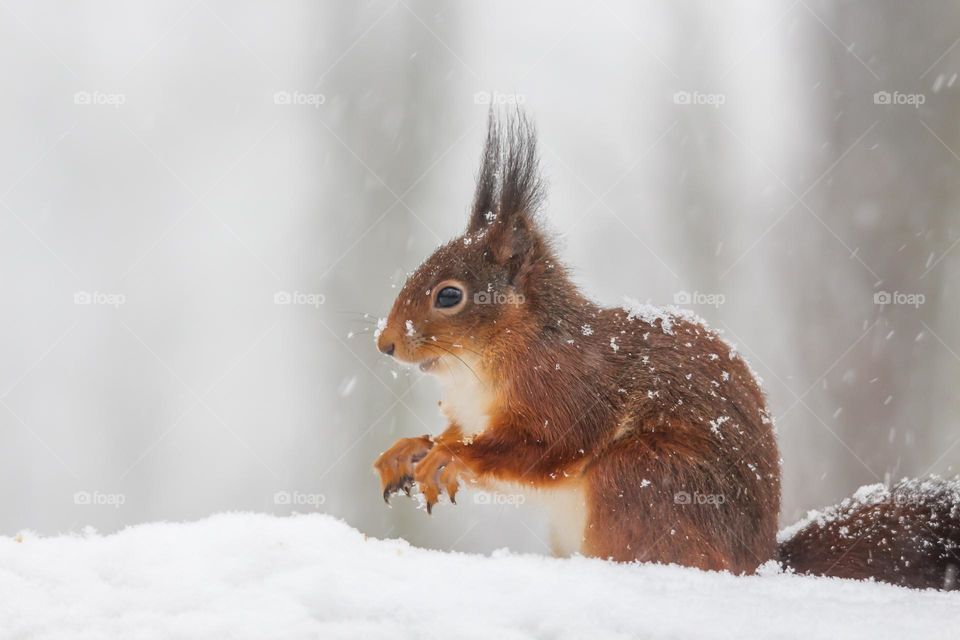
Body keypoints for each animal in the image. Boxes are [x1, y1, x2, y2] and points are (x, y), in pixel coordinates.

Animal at [373, 110, 960, 590]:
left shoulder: (568, 391)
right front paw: (410, 448)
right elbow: (450, 434)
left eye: (449, 295)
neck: (483, 364)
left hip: (642, 477)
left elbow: (541, 450)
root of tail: (762, 564)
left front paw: (450, 457)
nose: (385, 344)